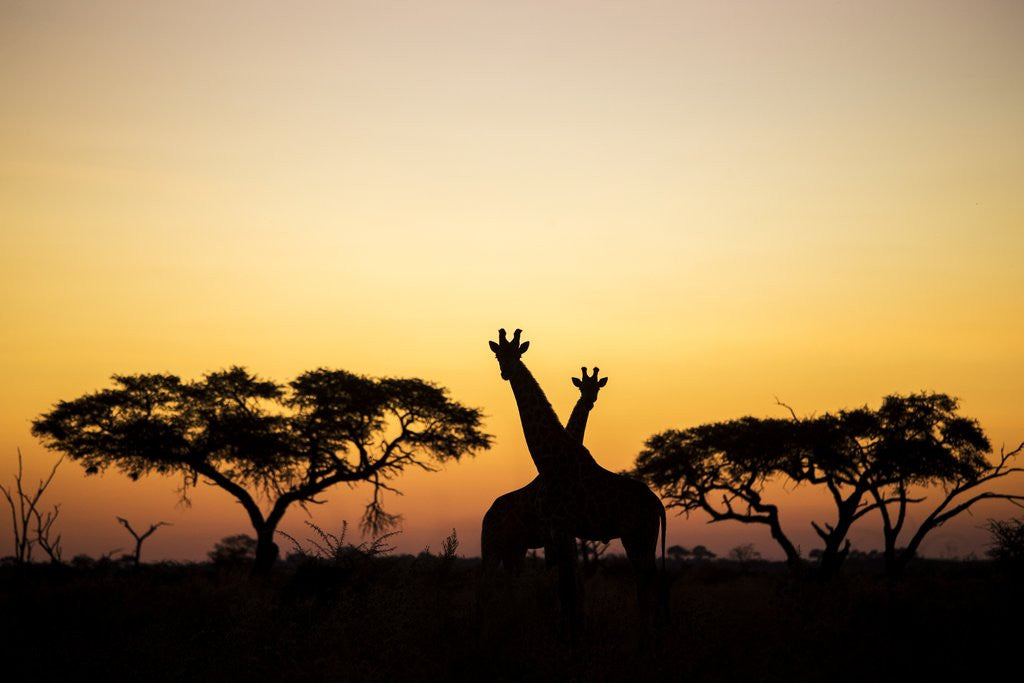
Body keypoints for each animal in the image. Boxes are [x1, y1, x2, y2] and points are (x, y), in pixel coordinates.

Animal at [481, 366, 608, 573]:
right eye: (581, 388)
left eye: (597, 388)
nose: (589, 402)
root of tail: (486, 516)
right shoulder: (549, 531)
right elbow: (553, 566)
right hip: (492, 546)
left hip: (514, 548)